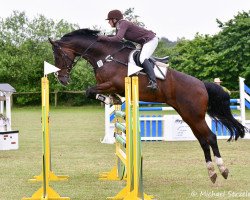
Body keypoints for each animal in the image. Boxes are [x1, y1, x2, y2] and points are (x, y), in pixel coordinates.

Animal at [48, 28, 246, 183]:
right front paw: (113, 100)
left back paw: (222, 169)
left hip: (194, 115)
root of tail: (202, 85)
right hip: (188, 115)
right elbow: (93, 92)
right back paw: (212, 172)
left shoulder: (115, 83)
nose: (62, 79)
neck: (105, 56)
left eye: (57, 56)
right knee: (203, 140)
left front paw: (108, 99)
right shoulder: (109, 85)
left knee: (211, 137)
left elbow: (89, 90)